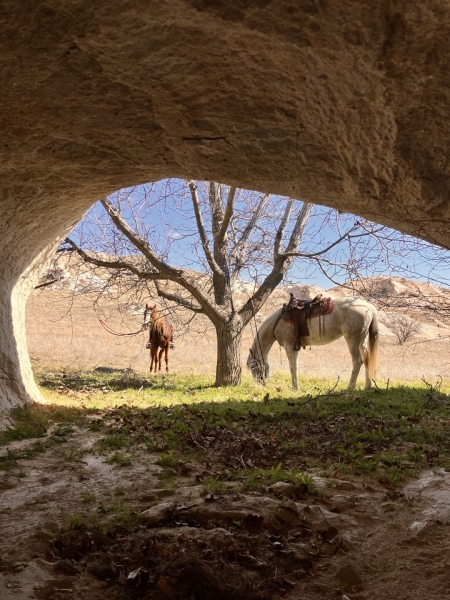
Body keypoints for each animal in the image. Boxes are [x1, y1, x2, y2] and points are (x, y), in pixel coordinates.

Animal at [248, 298, 378, 392]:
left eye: (253, 367)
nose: (260, 384)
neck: (278, 321)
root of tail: (368, 306)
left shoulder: (289, 346)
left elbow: (292, 368)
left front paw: (294, 388)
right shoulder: (295, 348)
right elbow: (296, 366)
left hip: (353, 340)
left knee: (357, 361)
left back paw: (350, 387)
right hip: (362, 340)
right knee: (367, 359)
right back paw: (368, 386)